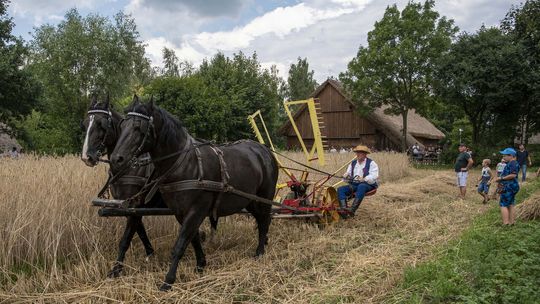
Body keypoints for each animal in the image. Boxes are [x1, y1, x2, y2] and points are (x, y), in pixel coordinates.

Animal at [81, 95, 166, 278]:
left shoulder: (135, 204)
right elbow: (140, 230)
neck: (129, 166)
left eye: (101, 124)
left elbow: (126, 238)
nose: (86, 157)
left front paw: (116, 269)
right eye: (84, 124)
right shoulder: (128, 206)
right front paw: (150, 254)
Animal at [110, 98, 278, 290]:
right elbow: (193, 238)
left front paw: (168, 281)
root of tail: (264, 150)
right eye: (122, 125)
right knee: (262, 220)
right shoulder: (180, 211)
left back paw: (259, 252)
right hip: (250, 201)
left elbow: (180, 243)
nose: (116, 159)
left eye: (138, 127)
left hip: (264, 198)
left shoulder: (196, 209)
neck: (183, 164)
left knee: (264, 221)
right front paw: (200, 265)